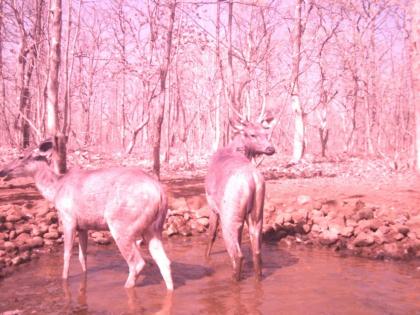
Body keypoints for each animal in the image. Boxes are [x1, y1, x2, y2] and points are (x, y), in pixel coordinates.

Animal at [0, 141, 173, 292]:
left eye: (21, 156)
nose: (2, 171)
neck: (55, 190)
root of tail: (160, 192)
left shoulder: (68, 218)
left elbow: (67, 254)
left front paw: (64, 280)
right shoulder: (83, 225)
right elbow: (82, 257)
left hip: (122, 224)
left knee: (137, 263)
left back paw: (126, 287)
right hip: (153, 228)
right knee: (164, 261)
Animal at [206, 115, 278, 282]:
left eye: (266, 133)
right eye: (252, 134)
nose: (271, 148)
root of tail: (252, 180)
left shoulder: (212, 206)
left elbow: (211, 234)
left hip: (229, 215)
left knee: (237, 255)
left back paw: (234, 280)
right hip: (257, 214)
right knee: (256, 252)